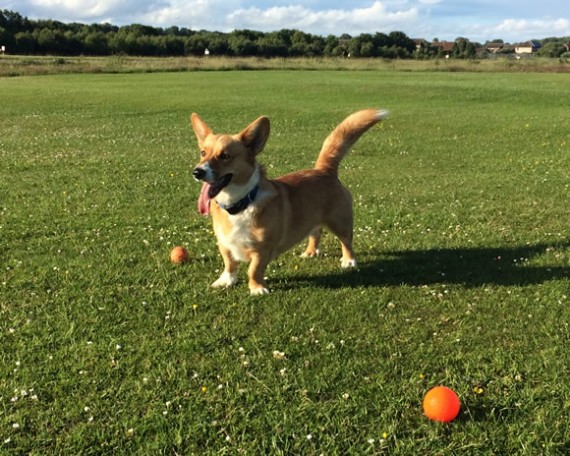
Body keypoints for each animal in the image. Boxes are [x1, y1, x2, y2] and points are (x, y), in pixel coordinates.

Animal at [191, 110, 386, 296]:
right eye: (203, 153)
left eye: (225, 156)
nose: (197, 172)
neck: (240, 203)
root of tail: (324, 170)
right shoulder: (224, 243)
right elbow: (229, 264)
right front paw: (227, 281)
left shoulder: (261, 251)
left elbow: (253, 271)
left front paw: (257, 288)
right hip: (311, 218)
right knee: (315, 233)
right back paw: (310, 252)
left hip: (340, 222)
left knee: (346, 241)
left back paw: (349, 260)